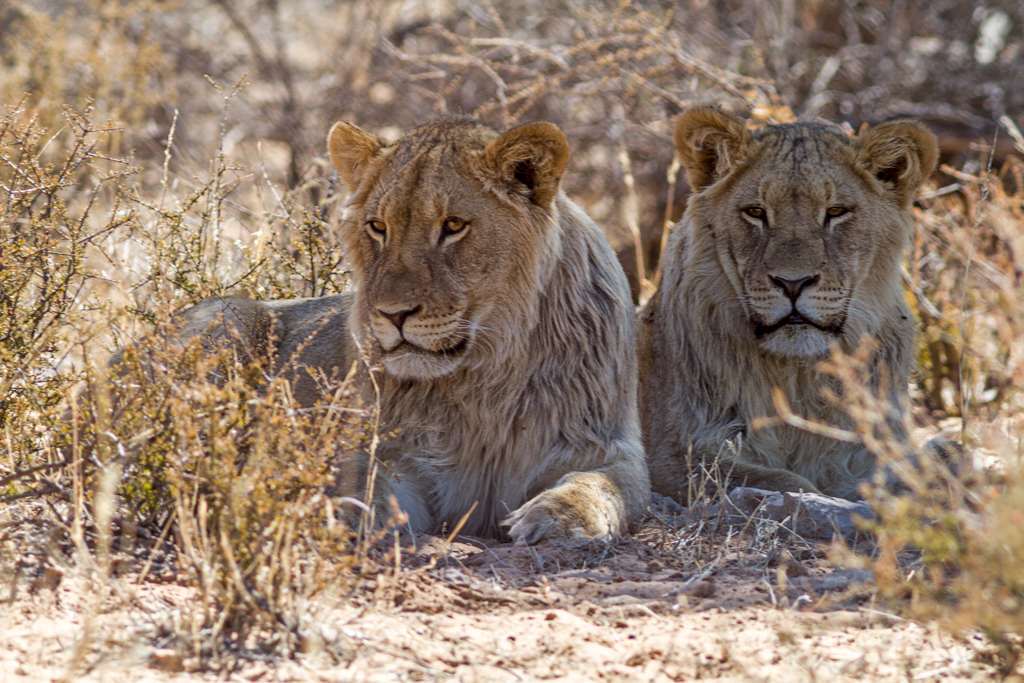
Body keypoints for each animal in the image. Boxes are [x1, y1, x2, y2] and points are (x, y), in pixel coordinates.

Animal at [163, 116, 651, 544]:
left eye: (453, 226)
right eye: (378, 227)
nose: (392, 314)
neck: (488, 377)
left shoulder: (601, 445)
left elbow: (603, 485)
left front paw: (559, 517)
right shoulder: (394, 453)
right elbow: (364, 483)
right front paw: (350, 517)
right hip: (231, 317)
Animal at [638, 107, 937, 501]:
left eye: (836, 211)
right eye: (755, 212)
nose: (793, 283)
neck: (797, 379)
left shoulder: (865, 450)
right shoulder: (672, 454)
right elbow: (785, 482)